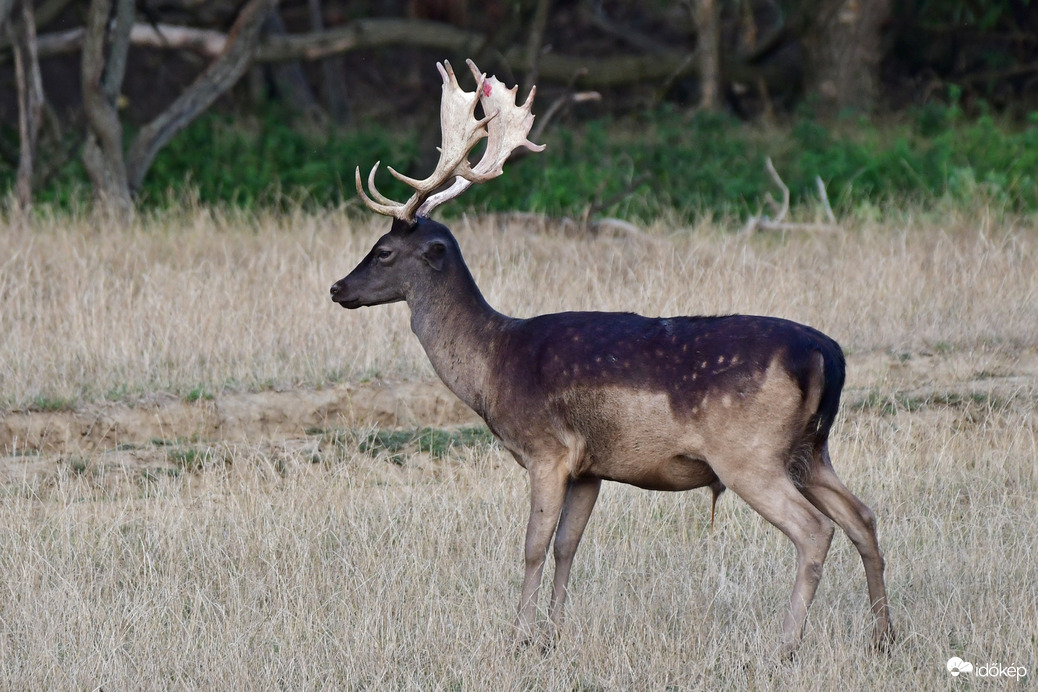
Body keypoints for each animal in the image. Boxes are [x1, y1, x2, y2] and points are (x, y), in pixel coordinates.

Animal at [330, 58, 892, 655]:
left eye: (384, 251)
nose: (338, 288)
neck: (492, 364)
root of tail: (828, 357)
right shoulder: (590, 467)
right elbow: (567, 546)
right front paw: (552, 634)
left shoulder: (547, 450)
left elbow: (533, 545)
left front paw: (519, 636)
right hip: (812, 449)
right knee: (863, 517)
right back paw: (884, 636)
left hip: (750, 453)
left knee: (815, 530)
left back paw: (784, 646)